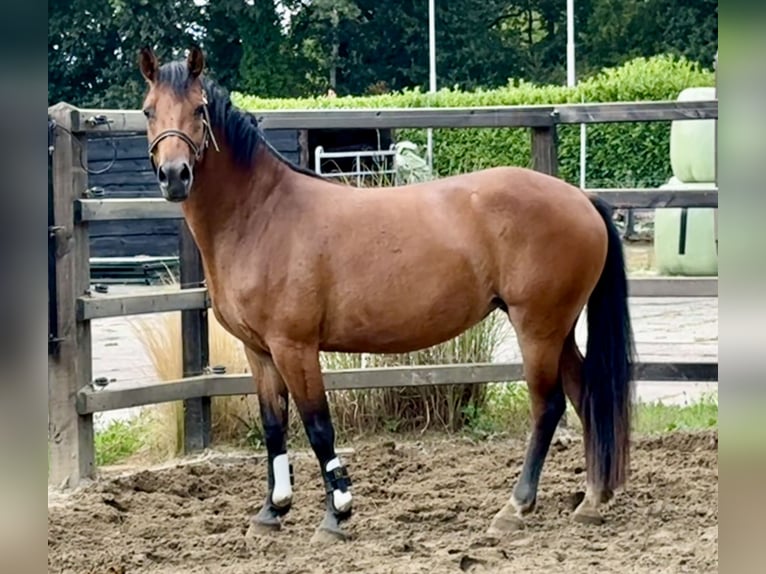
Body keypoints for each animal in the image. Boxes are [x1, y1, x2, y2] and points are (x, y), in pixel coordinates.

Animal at [137, 45, 635, 544]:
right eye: (148, 110)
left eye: (199, 110)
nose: (174, 176)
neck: (262, 215)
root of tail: (580, 198)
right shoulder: (259, 351)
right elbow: (274, 427)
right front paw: (271, 511)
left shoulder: (295, 347)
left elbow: (318, 427)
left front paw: (336, 515)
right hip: (557, 330)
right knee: (584, 395)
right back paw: (591, 501)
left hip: (537, 329)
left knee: (547, 407)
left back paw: (515, 507)